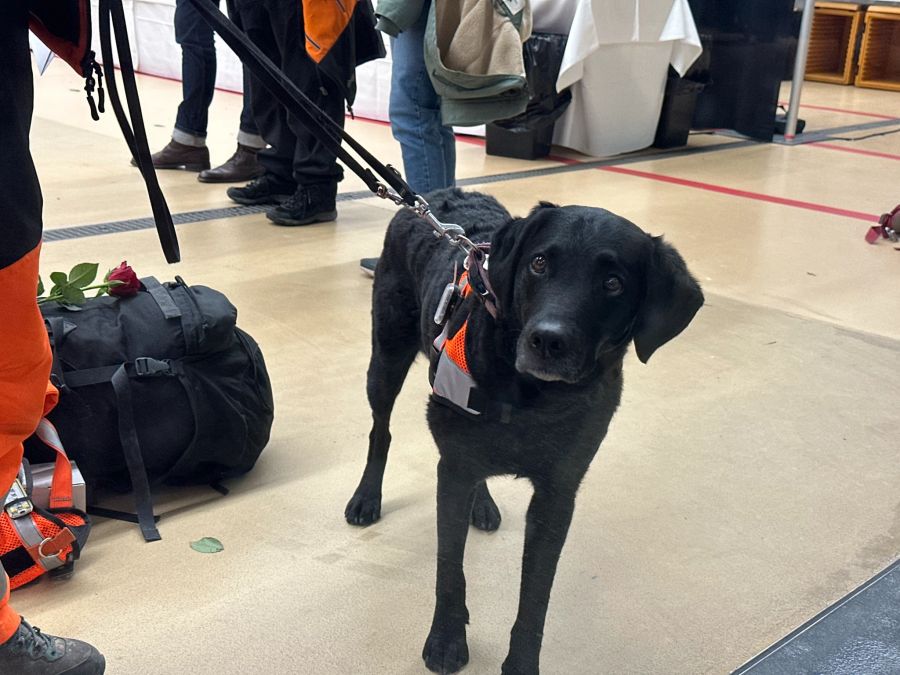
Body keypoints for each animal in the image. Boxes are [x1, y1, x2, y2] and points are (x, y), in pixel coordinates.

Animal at [344, 190, 704, 675]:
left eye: (613, 283)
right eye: (538, 263)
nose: (548, 340)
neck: (532, 396)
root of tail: (430, 198)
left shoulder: (557, 494)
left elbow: (536, 595)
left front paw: (520, 663)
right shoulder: (454, 469)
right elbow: (449, 568)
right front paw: (446, 639)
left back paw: (482, 505)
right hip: (386, 356)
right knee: (379, 432)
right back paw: (367, 497)